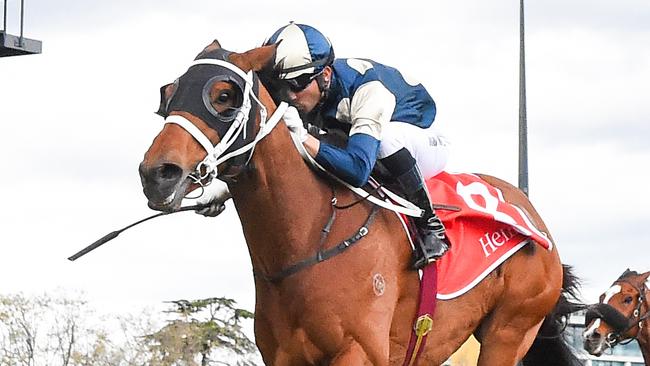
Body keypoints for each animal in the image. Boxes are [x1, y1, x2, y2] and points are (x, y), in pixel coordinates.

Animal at [139, 41, 580, 364]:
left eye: (223, 95)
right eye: (168, 94)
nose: (157, 174)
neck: (308, 237)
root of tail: (530, 212)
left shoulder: (358, 351)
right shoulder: (284, 356)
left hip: (509, 331)